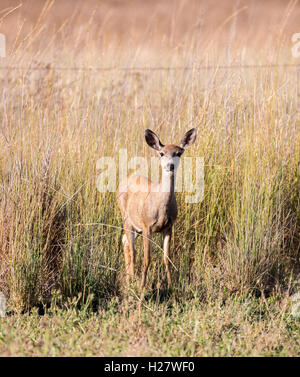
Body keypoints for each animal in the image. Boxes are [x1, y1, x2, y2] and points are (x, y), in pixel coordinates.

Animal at [116, 128, 197, 292]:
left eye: (179, 153)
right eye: (161, 153)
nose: (170, 165)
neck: (161, 207)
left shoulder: (169, 227)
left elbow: (167, 258)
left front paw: (171, 286)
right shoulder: (147, 226)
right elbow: (147, 259)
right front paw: (142, 287)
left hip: (136, 227)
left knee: (125, 241)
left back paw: (129, 278)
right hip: (126, 218)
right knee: (132, 249)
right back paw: (132, 281)